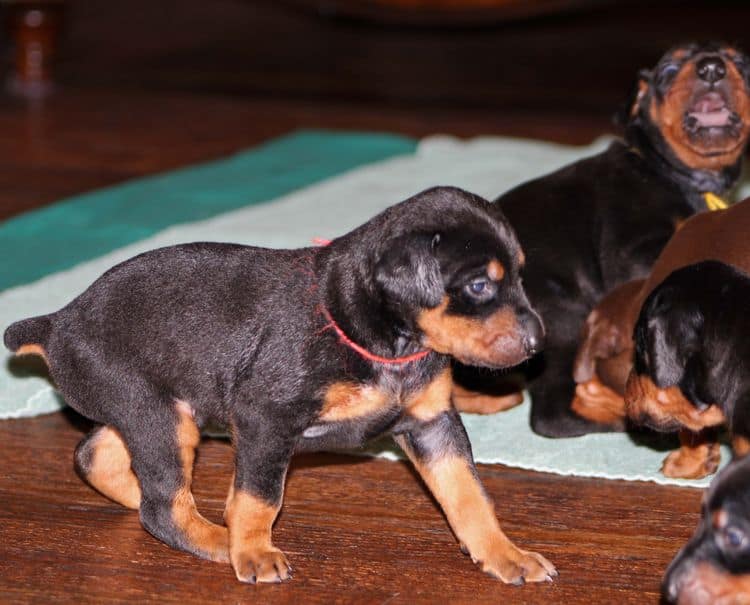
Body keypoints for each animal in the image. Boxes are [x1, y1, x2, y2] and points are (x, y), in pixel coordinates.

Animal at [4, 188, 560, 584]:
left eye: (520, 277)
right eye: (479, 286)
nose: (539, 342)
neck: (383, 340)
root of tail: (57, 324)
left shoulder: (432, 425)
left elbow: (468, 495)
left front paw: (505, 555)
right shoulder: (265, 419)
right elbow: (259, 496)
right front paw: (250, 550)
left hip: (151, 410)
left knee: (95, 455)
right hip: (156, 412)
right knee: (161, 505)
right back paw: (218, 539)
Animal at [456, 43, 750, 438]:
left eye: (740, 64)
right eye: (669, 70)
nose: (712, 69)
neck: (668, 170)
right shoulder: (633, 250)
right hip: (558, 318)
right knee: (552, 414)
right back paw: (626, 413)